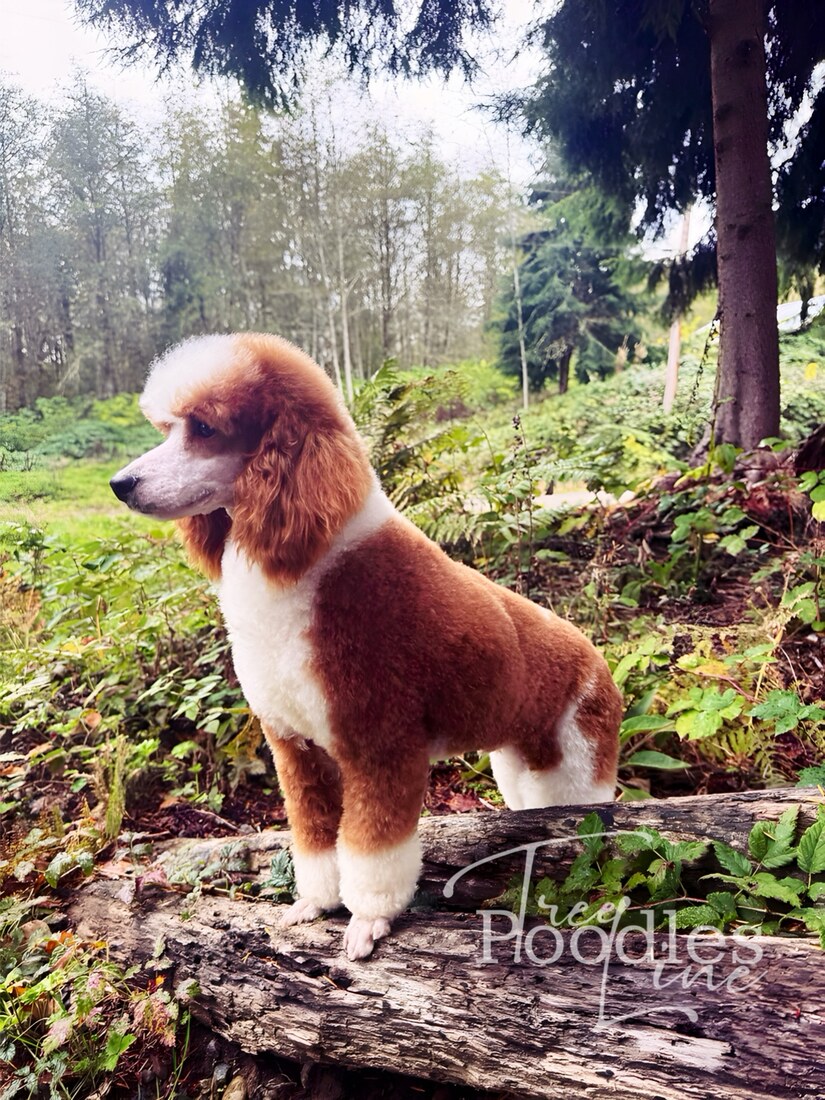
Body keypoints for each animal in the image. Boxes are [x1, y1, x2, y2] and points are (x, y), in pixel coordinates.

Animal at [110, 333, 621, 960]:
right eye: (167, 427)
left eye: (204, 428)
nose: (121, 484)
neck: (310, 562)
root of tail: (595, 658)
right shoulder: (296, 747)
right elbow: (313, 837)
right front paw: (312, 904)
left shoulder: (380, 744)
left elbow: (373, 848)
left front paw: (368, 921)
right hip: (520, 765)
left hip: (581, 764)